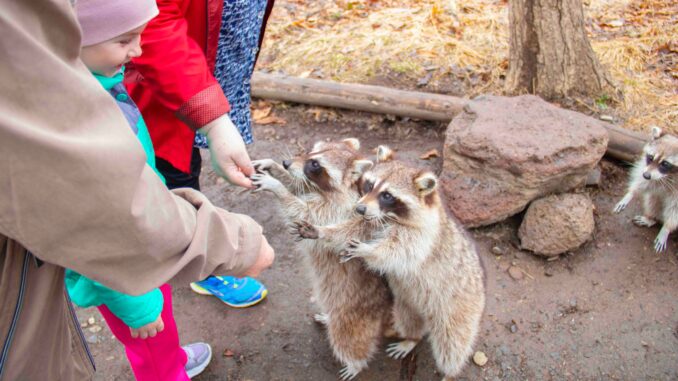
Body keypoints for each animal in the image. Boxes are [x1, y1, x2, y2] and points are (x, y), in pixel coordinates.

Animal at [251, 138, 394, 378]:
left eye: (315, 164)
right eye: (310, 152)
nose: (286, 162)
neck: (329, 190)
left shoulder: (338, 211)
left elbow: (303, 213)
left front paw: (277, 187)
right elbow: (299, 187)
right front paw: (276, 169)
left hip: (354, 314)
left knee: (347, 337)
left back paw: (355, 363)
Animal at [294, 146, 486, 380]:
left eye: (387, 195)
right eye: (369, 185)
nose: (359, 208)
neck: (390, 217)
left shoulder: (423, 236)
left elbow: (399, 252)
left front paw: (368, 251)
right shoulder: (371, 222)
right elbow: (350, 229)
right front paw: (322, 231)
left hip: (459, 306)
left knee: (452, 343)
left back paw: (448, 370)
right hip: (406, 303)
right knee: (409, 321)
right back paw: (412, 337)